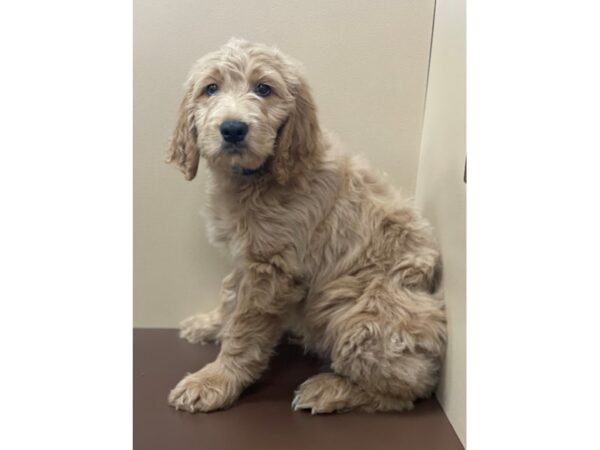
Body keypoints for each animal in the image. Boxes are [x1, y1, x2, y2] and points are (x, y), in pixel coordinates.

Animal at [165, 38, 446, 414]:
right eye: (210, 88)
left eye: (264, 89)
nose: (233, 129)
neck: (258, 176)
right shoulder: (248, 256)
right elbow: (229, 296)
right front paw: (209, 325)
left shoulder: (273, 270)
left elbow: (244, 330)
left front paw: (215, 380)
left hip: (357, 314)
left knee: (410, 388)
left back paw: (330, 390)